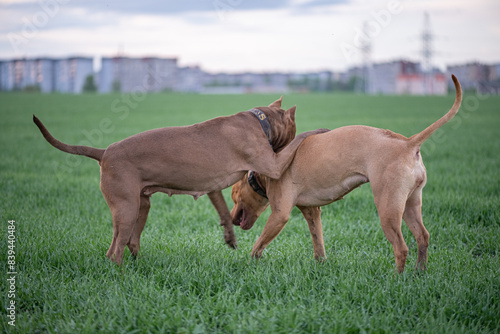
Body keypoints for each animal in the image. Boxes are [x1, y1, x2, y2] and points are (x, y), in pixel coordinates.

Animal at [33, 98, 322, 264]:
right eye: (294, 127)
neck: (258, 121)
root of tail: (104, 152)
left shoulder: (213, 188)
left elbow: (223, 213)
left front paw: (229, 238)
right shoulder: (273, 164)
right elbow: (295, 144)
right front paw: (316, 130)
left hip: (141, 206)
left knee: (128, 242)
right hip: (126, 209)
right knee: (115, 250)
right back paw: (121, 274)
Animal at [232, 75, 462, 272]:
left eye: (233, 196)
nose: (232, 218)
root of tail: (408, 143)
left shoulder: (279, 216)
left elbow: (258, 245)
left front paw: (250, 264)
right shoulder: (312, 212)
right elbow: (318, 243)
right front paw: (321, 266)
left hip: (388, 209)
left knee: (401, 247)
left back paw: (397, 279)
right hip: (410, 203)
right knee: (423, 237)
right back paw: (419, 273)